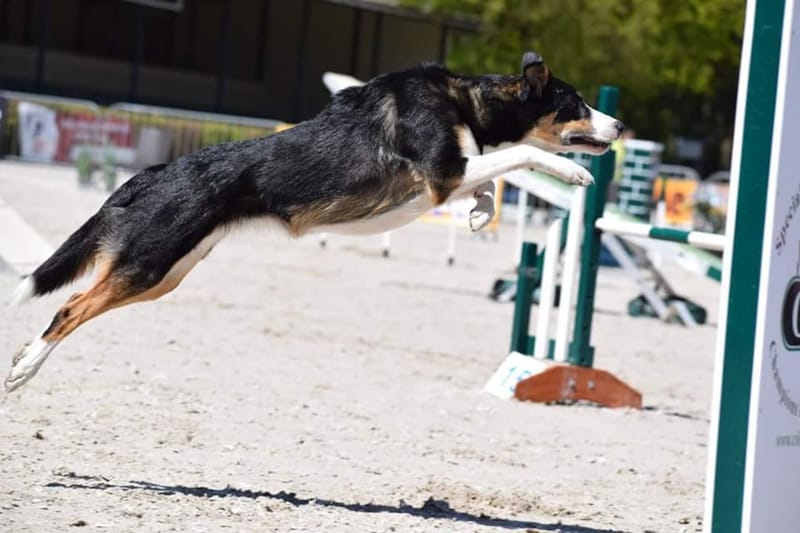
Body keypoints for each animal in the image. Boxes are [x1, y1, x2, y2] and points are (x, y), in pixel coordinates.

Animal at [3, 51, 620, 390]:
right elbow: (524, 156)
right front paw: (574, 174)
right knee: (69, 306)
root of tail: (155, 173)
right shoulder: (443, 174)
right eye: (576, 104)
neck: (466, 102)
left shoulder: (451, 175)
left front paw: (480, 212)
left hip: (166, 275)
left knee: (79, 304)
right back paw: (24, 368)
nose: (618, 129)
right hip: (148, 265)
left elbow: (493, 176)